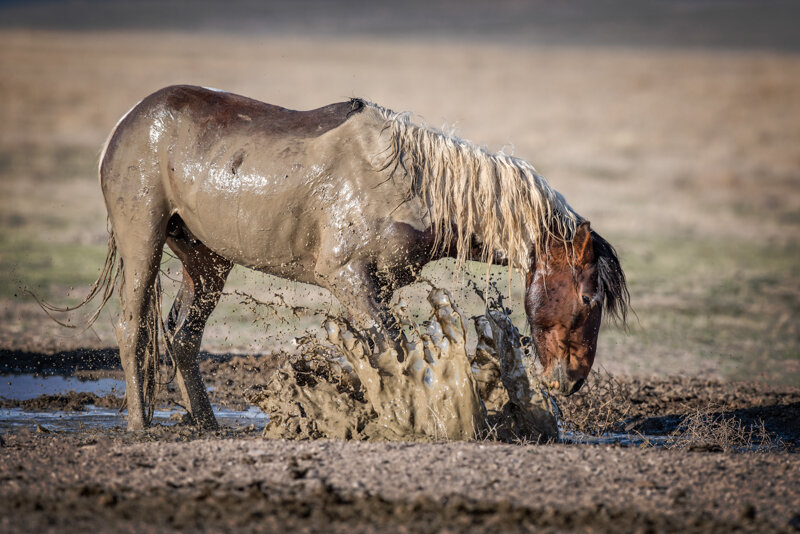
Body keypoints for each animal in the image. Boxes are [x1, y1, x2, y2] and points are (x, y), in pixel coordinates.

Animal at [86, 87, 632, 432]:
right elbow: (393, 348)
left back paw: (206, 424)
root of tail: (128, 121)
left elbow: (384, 353)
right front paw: (409, 420)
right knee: (133, 328)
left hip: (206, 263)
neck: (413, 186)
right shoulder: (348, 279)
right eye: (588, 297)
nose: (572, 379)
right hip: (143, 239)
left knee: (182, 337)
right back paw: (139, 425)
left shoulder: (376, 287)